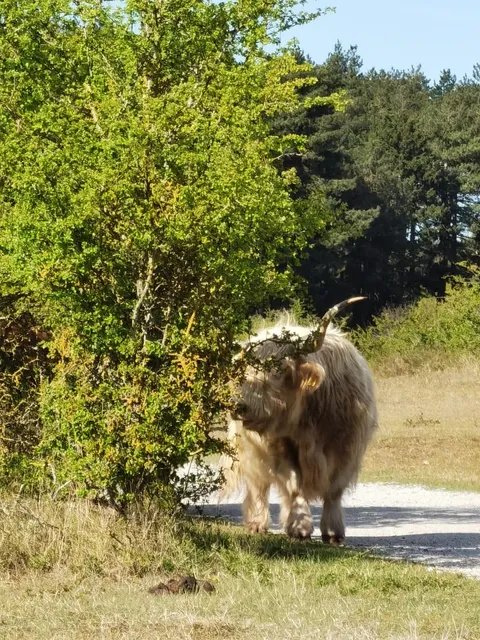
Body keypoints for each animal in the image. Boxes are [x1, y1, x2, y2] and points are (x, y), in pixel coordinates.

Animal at [222, 298, 377, 544]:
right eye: (244, 371)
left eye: (280, 369)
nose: (240, 406)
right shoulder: (278, 447)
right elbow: (294, 484)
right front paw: (300, 527)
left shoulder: (348, 449)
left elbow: (334, 489)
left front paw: (333, 532)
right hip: (250, 449)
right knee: (258, 485)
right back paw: (257, 522)